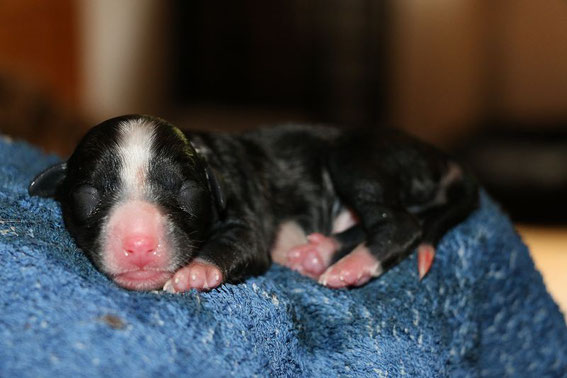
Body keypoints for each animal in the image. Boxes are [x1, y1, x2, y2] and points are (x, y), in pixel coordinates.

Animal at [27, 115, 480, 292]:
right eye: (87, 196)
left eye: (188, 192)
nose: (139, 244)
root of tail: (446, 160)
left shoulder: (245, 216)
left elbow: (237, 243)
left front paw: (196, 272)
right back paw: (317, 254)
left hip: (355, 156)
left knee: (401, 223)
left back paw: (348, 267)